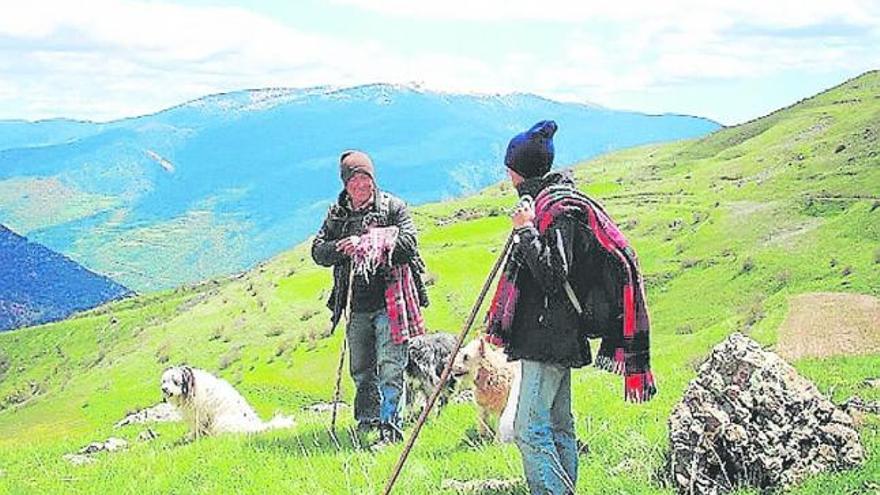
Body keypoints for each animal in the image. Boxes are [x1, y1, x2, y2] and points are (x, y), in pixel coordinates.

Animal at [160, 364, 294, 438]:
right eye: (164, 381)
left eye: (175, 381)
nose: (164, 389)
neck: (191, 387)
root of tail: (257, 426)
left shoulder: (199, 414)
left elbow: (197, 426)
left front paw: (193, 437)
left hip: (221, 421)